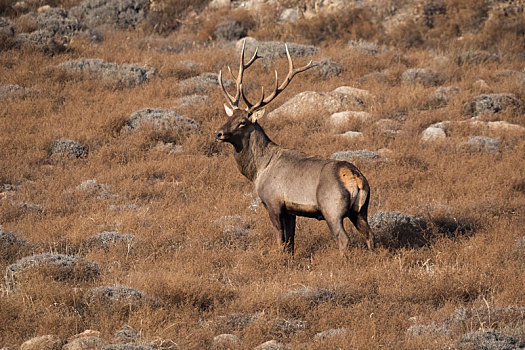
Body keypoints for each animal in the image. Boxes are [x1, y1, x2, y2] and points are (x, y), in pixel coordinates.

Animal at [213, 40, 372, 254]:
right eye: (229, 117)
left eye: (242, 122)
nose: (218, 134)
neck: (258, 170)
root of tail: (355, 178)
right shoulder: (291, 210)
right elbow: (291, 240)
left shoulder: (273, 202)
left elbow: (281, 239)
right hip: (362, 210)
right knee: (369, 235)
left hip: (332, 208)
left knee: (343, 238)